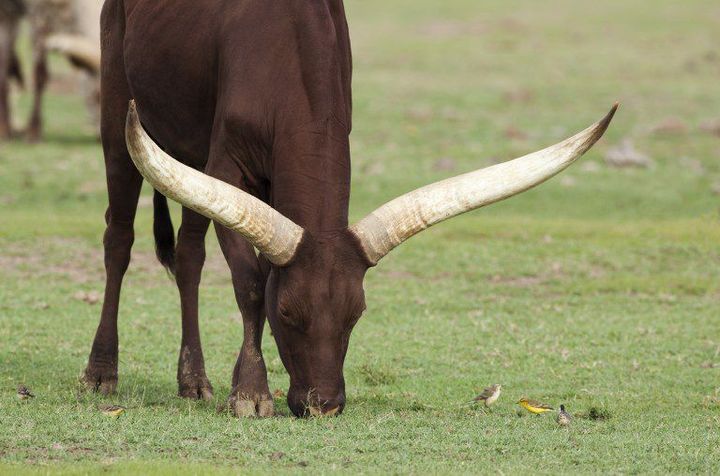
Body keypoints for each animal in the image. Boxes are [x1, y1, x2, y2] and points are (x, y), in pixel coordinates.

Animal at [83, 0, 612, 416]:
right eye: (288, 313)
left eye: (356, 314)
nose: (325, 405)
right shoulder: (226, 168)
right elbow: (250, 283)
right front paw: (251, 393)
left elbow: (248, 269)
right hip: (116, 110)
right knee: (119, 239)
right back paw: (100, 372)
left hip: (188, 154)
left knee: (190, 254)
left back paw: (193, 380)